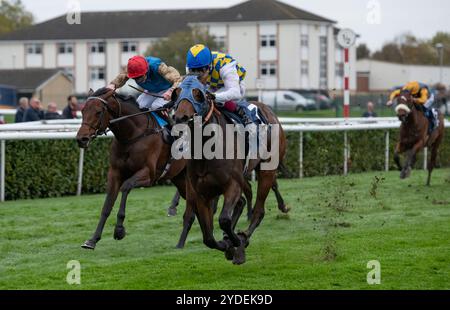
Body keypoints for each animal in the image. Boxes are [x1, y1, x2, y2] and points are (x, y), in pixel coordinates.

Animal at [76, 87, 188, 249]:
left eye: (98, 112)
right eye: (83, 110)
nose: (81, 139)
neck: (132, 136)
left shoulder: (148, 175)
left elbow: (126, 187)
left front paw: (119, 230)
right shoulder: (114, 173)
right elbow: (107, 205)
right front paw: (92, 240)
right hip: (179, 176)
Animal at [172, 75, 288, 264]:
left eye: (198, 94)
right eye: (177, 92)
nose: (181, 117)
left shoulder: (232, 184)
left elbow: (224, 220)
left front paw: (236, 243)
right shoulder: (200, 193)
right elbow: (208, 238)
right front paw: (227, 245)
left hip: (267, 170)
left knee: (258, 211)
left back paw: (244, 236)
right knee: (242, 202)